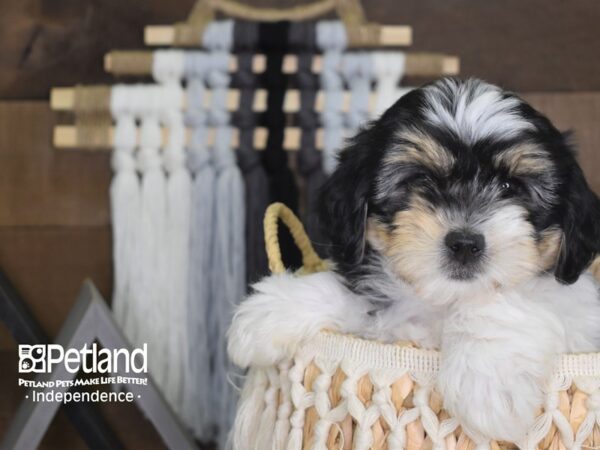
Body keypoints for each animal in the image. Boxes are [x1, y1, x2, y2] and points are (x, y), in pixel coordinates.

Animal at [229, 78, 600, 442]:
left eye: (511, 186)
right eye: (421, 180)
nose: (465, 244)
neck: (442, 301)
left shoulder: (578, 311)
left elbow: (504, 301)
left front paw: (486, 381)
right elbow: (358, 297)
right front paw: (272, 312)